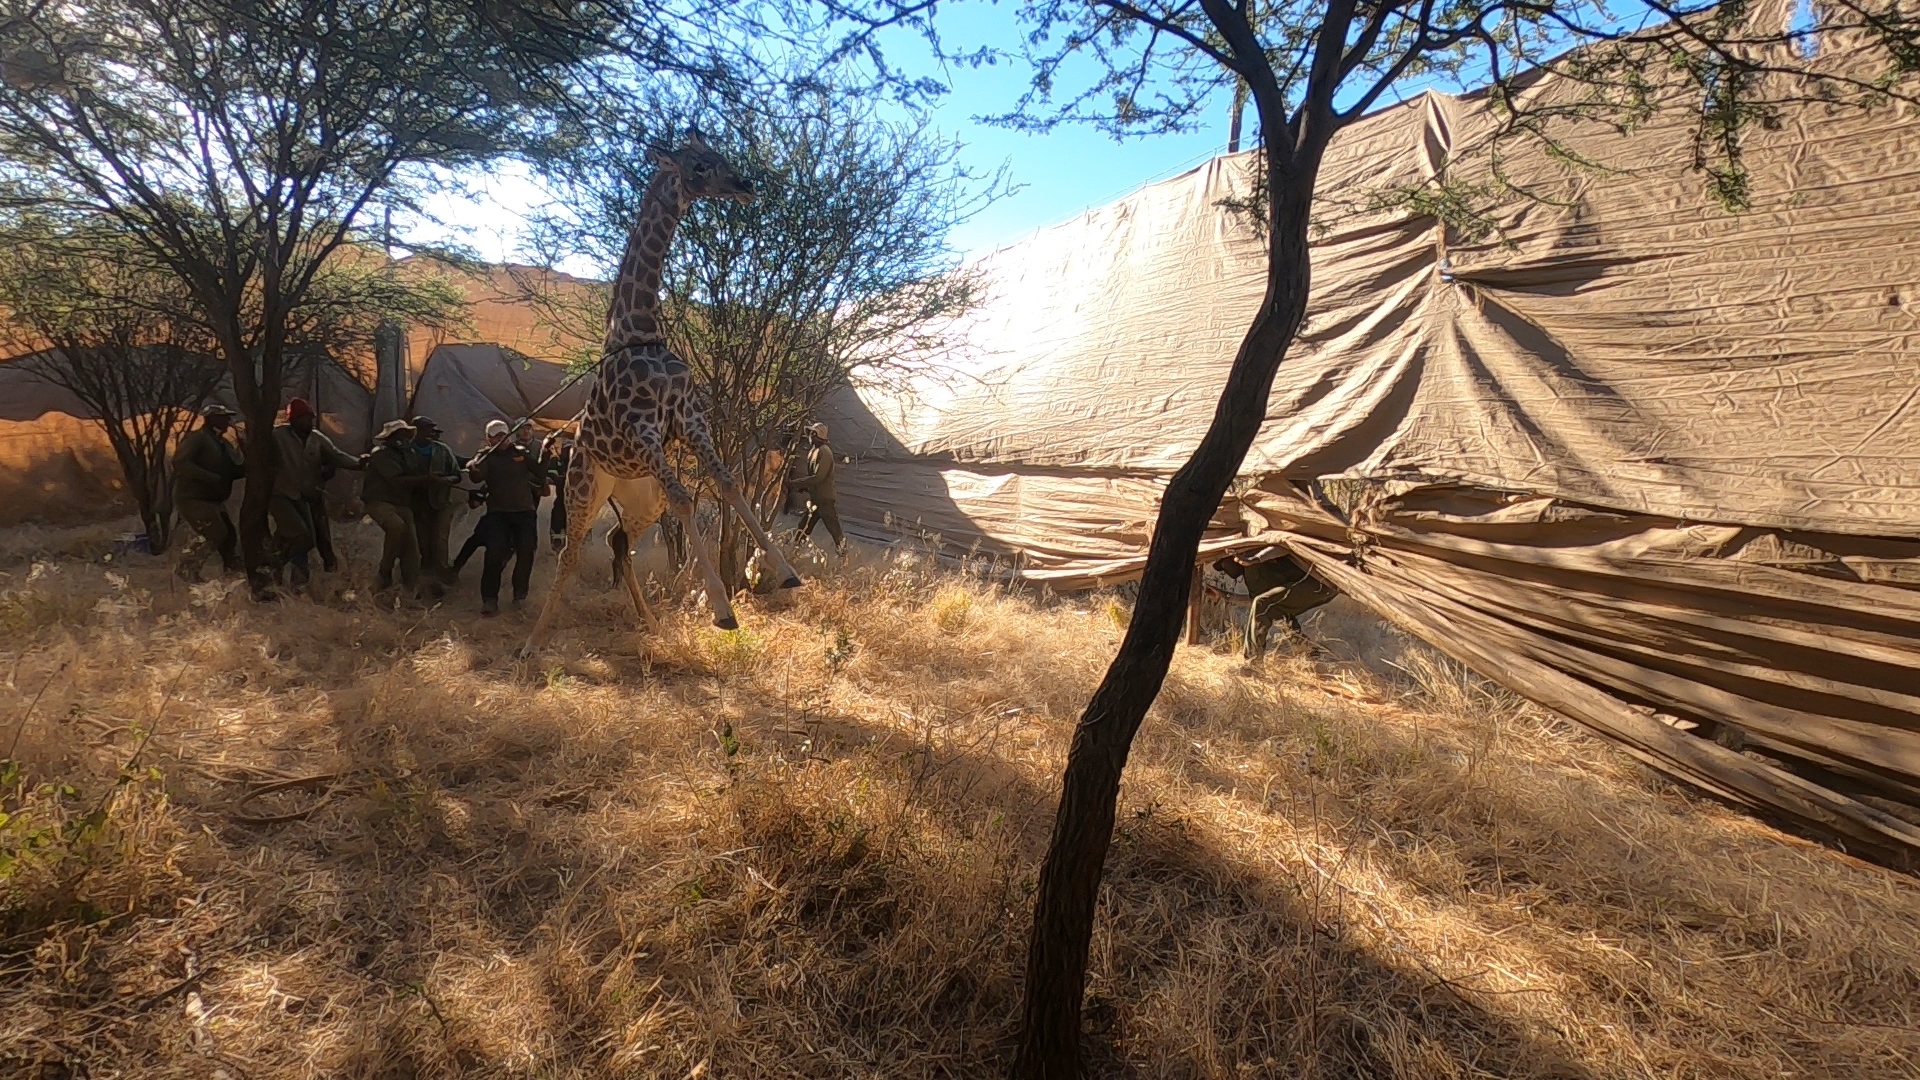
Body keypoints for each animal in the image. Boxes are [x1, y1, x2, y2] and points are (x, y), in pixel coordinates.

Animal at [522, 130, 805, 659]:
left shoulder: (691, 419)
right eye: (698, 166)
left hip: (638, 499)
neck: (639, 331)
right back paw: (532, 644)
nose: (745, 184)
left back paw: (651, 624)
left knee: (618, 542)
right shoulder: (642, 429)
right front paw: (722, 610)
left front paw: (786, 572)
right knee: (571, 554)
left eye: (720, 154)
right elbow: (686, 498)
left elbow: (730, 485)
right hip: (583, 489)